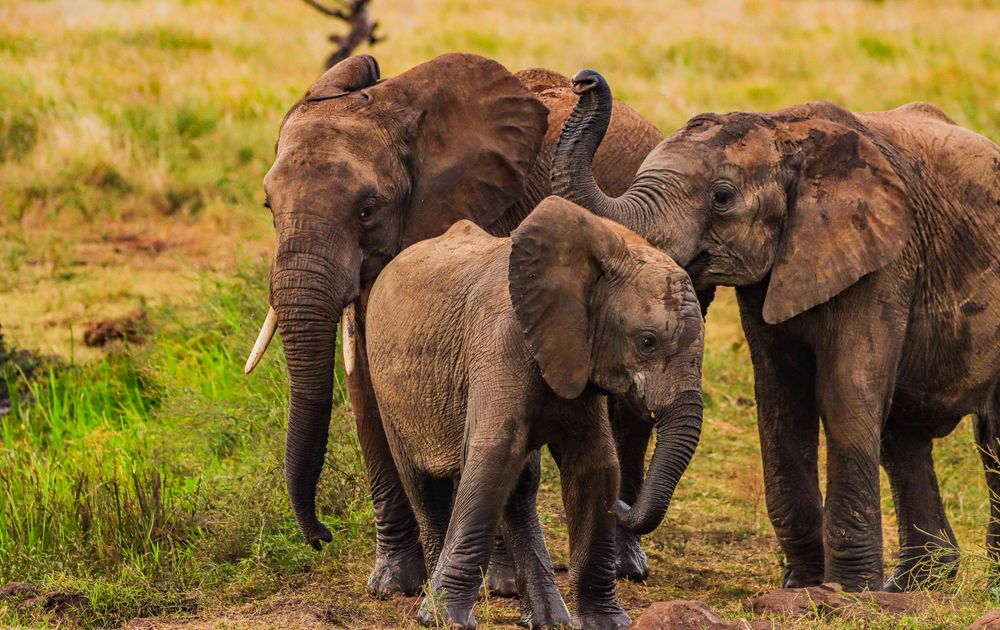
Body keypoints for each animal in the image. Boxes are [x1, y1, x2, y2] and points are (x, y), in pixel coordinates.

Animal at [243, 52, 663, 597]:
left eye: (366, 211)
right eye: (269, 208)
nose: (321, 537)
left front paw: (498, 586)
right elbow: (370, 389)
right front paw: (393, 586)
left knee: (630, 413)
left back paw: (625, 567)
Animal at [366, 197, 705, 629]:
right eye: (647, 342)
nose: (623, 506)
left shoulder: (574, 352)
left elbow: (594, 466)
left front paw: (608, 623)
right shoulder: (502, 341)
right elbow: (494, 454)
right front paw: (445, 620)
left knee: (520, 485)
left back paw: (548, 620)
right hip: (388, 385)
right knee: (425, 481)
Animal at [550, 69, 1000, 592]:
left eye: (722, 197)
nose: (584, 80)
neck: (784, 130)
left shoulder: (886, 262)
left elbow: (846, 393)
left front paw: (848, 592)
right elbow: (781, 398)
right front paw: (804, 586)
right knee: (902, 439)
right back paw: (914, 587)